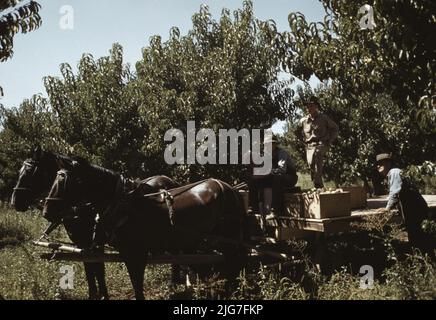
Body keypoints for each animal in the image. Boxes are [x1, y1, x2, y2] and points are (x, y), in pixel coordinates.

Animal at [11, 148, 179, 300]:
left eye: (31, 172)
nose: (14, 202)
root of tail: (169, 180)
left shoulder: (94, 244)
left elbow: (97, 270)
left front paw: (102, 295)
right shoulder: (83, 245)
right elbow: (91, 270)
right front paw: (97, 295)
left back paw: (175, 285)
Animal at [43, 158, 249, 300]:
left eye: (64, 181)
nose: (46, 211)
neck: (123, 205)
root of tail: (231, 189)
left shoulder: (135, 254)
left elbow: (136, 286)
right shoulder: (112, 251)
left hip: (228, 237)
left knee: (235, 262)